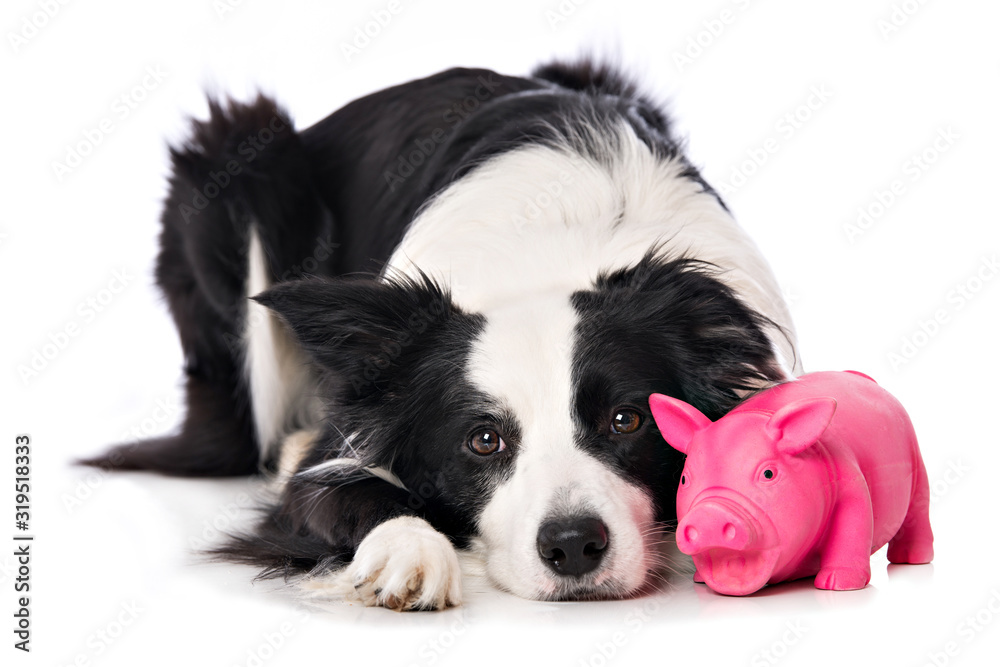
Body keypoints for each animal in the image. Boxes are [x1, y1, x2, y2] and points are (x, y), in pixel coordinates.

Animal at [90, 61, 800, 612]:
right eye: (483, 440)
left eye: (627, 420)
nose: (573, 547)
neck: (555, 250)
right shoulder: (337, 446)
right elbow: (337, 488)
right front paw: (408, 552)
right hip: (241, 163)